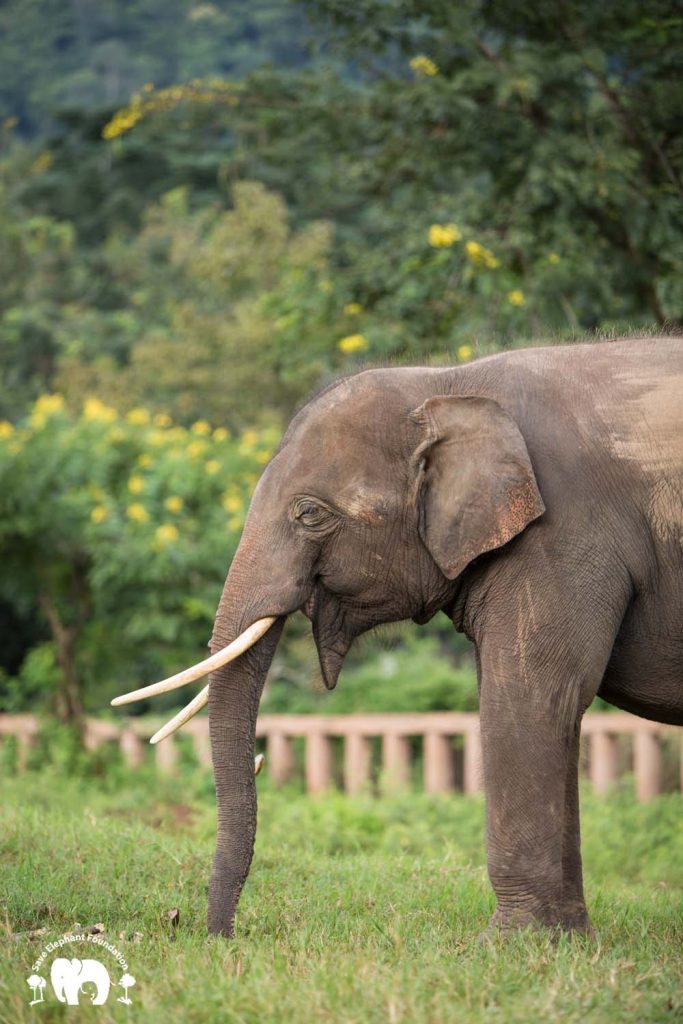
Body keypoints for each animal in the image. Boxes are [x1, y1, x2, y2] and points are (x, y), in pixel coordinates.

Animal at [113, 335, 682, 938]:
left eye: (309, 514)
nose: (219, 936)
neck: (447, 383)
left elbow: (535, 693)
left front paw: (519, 945)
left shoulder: (562, 536)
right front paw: (557, 942)